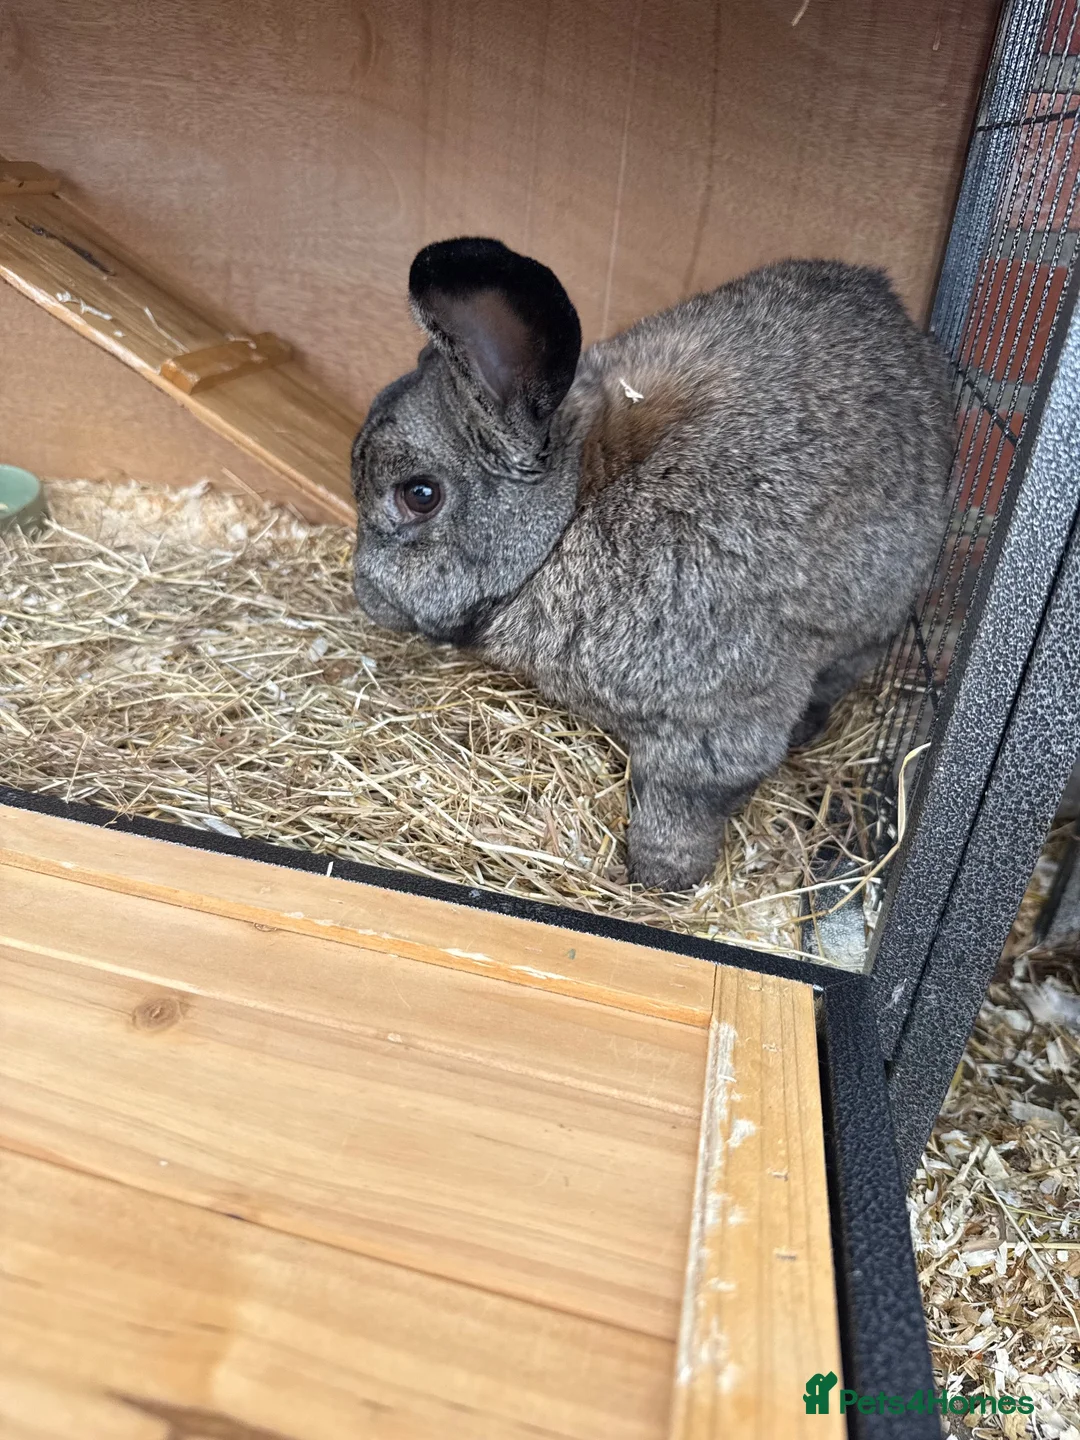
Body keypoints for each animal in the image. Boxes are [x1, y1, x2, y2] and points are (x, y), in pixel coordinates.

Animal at [350, 238, 952, 892]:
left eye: (420, 495)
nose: (365, 594)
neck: (572, 513)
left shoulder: (714, 723)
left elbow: (684, 805)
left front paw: (655, 879)